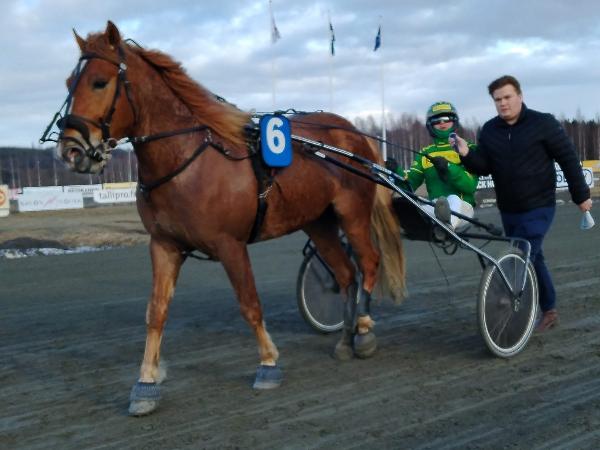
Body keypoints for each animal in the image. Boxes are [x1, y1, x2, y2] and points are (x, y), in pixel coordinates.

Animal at [52, 21, 406, 416]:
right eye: (69, 82)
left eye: (99, 81)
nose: (71, 150)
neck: (187, 160)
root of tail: (352, 132)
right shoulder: (164, 244)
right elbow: (156, 312)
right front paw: (145, 384)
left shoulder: (230, 244)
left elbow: (249, 304)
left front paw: (268, 364)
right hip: (318, 221)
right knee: (345, 273)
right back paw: (344, 339)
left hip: (352, 212)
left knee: (368, 262)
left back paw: (363, 331)